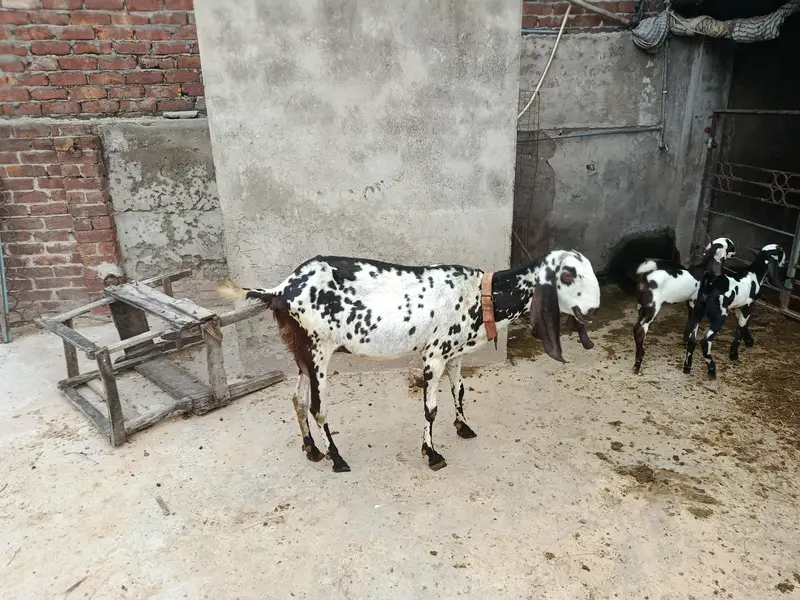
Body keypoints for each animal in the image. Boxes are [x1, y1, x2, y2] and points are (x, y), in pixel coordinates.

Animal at [218, 251, 601, 472]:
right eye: (567, 275)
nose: (593, 310)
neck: (481, 295)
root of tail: (280, 290)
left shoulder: (454, 353)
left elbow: (460, 391)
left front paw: (463, 427)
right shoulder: (434, 354)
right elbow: (430, 408)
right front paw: (432, 454)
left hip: (300, 353)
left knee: (297, 399)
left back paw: (312, 449)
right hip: (319, 349)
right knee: (317, 407)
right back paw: (336, 458)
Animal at [632, 237, 735, 374]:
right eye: (730, 246)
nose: (735, 253)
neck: (705, 269)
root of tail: (645, 278)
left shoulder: (691, 305)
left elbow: (688, 330)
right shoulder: (698, 309)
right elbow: (693, 336)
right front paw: (688, 365)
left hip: (641, 307)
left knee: (635, 328)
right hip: (652, 310)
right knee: (640, 331)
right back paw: (638, 364)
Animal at [683, 243, 787, 378]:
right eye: (781, 251)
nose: (785, 262)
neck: (754, 274)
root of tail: (709, 286)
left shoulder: (738, 307)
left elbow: (742, 326)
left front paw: (748, 341)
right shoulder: (747, 306)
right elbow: (740, 328)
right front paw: (734, 354)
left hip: (697, 312)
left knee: (691, 339)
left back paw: (687, 367)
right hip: (720, 315)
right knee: (705, 340)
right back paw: (711, 368)